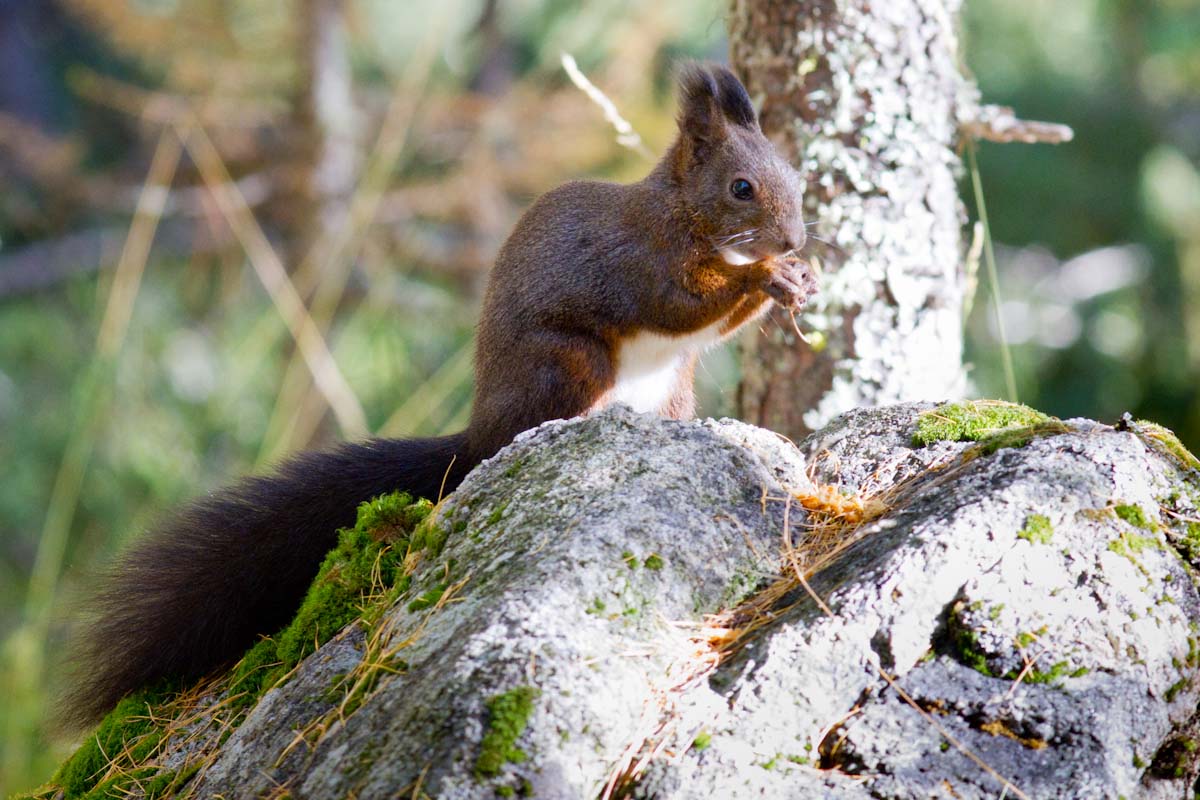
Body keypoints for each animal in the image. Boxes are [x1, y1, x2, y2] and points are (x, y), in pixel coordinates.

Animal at [63, 61, 816, 724]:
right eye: (742, 187)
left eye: (797, 178)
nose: (795, 239)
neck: (684, 213)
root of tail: (480, 431)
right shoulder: (642, 262)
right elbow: (682, 307)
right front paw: (766, 277)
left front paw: (796, 278)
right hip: (570, 361)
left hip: (672, 389)